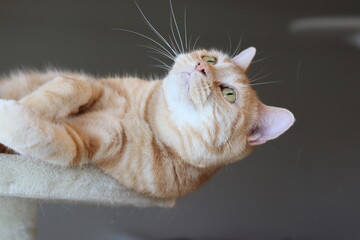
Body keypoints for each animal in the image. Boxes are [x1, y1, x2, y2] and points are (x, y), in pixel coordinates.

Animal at [0, 46, 294, 199]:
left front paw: (9, 114)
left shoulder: (82, 142)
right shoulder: (90, 85)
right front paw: (22, 102)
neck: (146, 121)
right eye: (210, 59)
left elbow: (39, 136)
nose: (201, 67)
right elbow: (67, 89)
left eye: (229, 93)